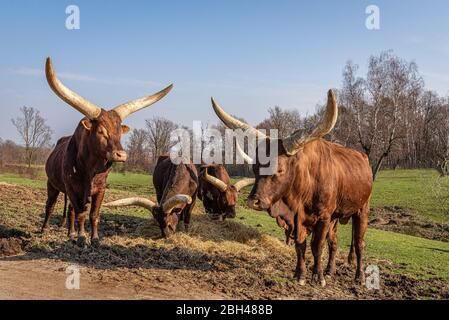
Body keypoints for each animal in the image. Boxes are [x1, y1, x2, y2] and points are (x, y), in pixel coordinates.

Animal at [40, 57, 173, 245]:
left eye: (119, 132)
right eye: (101, 131)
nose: (121, 155)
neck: (89, 168)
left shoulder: (100, 189)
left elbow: (94, 215)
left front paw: (94, 239)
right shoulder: (73, 188)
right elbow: (81, 214)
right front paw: (82, 238)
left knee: (71, 210)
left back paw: (70, 233)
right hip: (51, 184)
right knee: (50, 206)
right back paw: (44, 230)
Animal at [210, 89, 372, 284]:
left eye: (279, 169)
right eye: (255, 168)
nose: (253, 201)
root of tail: (363, 158)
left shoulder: (323, 216)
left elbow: (317, 246)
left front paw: (317, 276)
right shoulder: (298, 219)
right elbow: (300, 246)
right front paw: (300, 274)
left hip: (362, 210)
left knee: (359, 243)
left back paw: (359, 276)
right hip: (335, 216)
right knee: (334, 242)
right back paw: (330, 270)